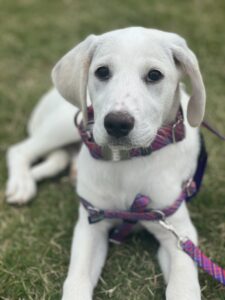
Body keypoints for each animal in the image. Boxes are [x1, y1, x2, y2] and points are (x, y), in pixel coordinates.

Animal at [5, 27, 206, 298]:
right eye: (102, 71)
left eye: (154, 75)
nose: (117, 123)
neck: (127, 162)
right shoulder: (91, 225)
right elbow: (76, 282)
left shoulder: (178, 233)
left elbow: (183, 285)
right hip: (64, 123)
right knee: (20, 150)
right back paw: (21, 185)